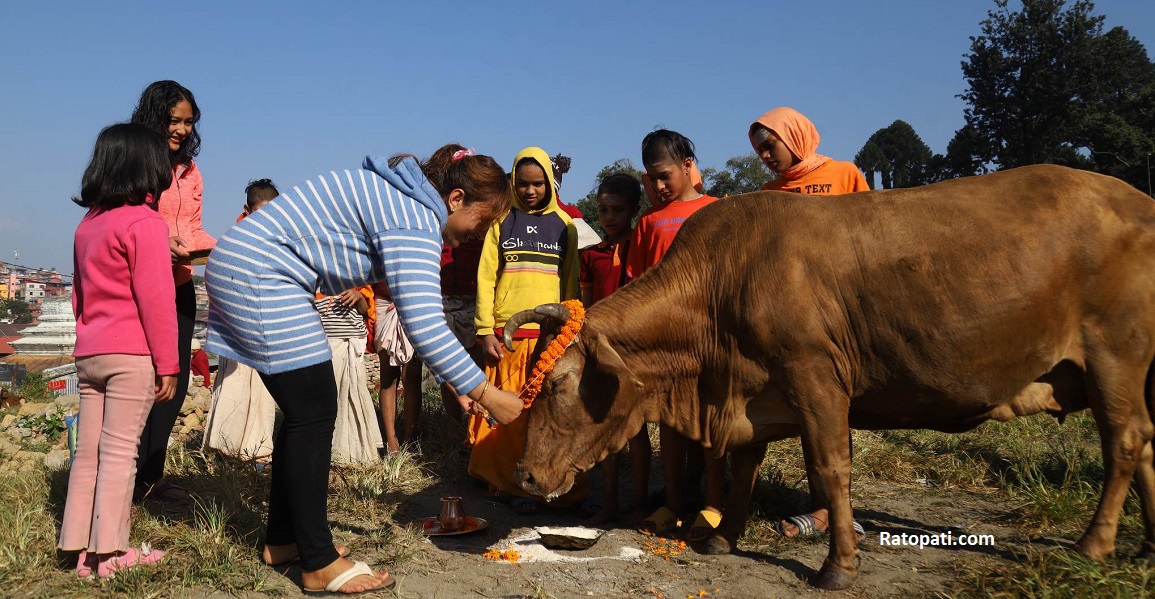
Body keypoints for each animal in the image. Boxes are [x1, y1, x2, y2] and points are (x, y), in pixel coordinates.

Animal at [503, 165, 1155, 590]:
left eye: (557, 385)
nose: (526, 473)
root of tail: (1136, 197)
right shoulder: (753, 393)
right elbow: (745, 467)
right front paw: (722, 536)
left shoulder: (816, 378)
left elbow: (831, 469)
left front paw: (839, 565)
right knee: (1145, 442)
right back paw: (1146, 542)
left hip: (1114, 355)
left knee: (1123, 443)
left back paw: (1094, 545)